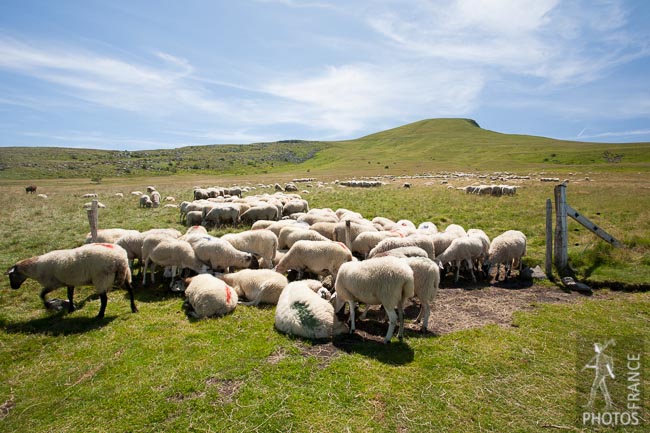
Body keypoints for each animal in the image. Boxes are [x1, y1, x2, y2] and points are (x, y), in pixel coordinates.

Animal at [5, 243, 137, 318]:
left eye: (12, 276)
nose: (13, 287)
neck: (35, 268)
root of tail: (120, 258)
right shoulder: (69, 282)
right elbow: (70, 295)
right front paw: (71, 309)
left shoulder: (53, 284)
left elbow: (42, 294)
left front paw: (47, 305)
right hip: (126, 273)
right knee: (130, 290)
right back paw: (134, 308)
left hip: (101, 278)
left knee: (104, 299)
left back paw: (100, 315)